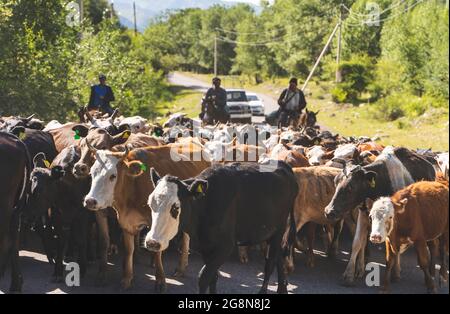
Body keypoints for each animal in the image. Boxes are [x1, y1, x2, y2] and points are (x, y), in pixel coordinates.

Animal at [82, 144, 209, 290]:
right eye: (92, 173)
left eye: (113, 175)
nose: (90, 201)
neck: (133, 186)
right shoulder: (126, 222)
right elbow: (128, 249)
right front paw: (127, 278)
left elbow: (157, 251)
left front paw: (160, 281)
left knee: (186, 237)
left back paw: (181, 267)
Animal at [145, 162, 298, 294]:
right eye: (150, 203)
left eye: (175, 207)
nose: (152, 242)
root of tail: (284, 165)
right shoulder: (206, 247)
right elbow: (213, 277)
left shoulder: (225, 247)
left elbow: (204, 277)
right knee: (279, 256)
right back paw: (282, 289)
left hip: (279, 229)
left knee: (270, 262)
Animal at [324, 146, 436, 286]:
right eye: (335, 182)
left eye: (351, 187)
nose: (329, 211)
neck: (381, 183)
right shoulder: (363, 213)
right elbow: (357, 242)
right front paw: (349, 274)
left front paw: (395, 273)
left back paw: (430, 272)